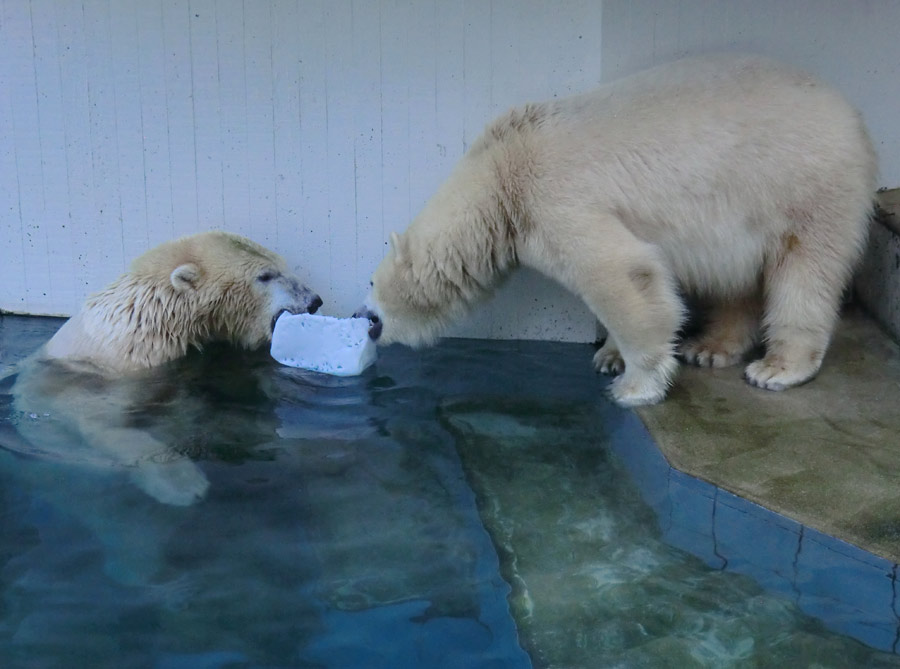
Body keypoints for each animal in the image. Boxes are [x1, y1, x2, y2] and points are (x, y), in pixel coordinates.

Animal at [7, 231, 324, 506]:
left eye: (283, 267)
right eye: (265, 276)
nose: (314, 300)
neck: (156, 316)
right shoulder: (119, 371)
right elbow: (106, 425)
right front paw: (184, 485)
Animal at [356, 52, 876, 404]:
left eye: (372, 284)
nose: (364, 318)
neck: (501, 173)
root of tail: (852, 116)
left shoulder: (554, 198)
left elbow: (621, 273)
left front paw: (635, 384)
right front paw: (609, 356)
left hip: (804, 186)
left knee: (806, 273)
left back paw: (777, 367)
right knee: (740, 279)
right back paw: (711, 348)